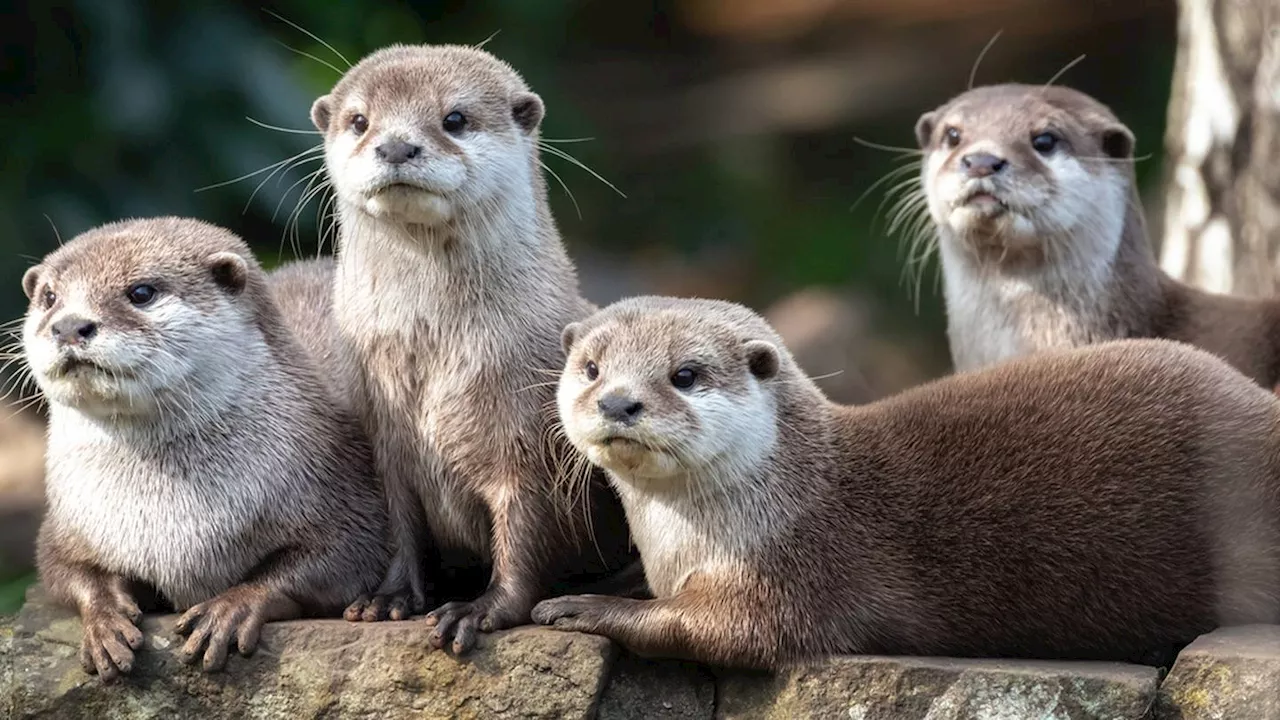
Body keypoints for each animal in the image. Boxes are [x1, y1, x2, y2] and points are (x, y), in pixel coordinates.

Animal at [23, 219, 384, 676]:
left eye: (141, 292)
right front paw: (104, 619)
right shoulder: (70, 521)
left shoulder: (339, 485)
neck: (172, 521)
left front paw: (232, 607)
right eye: (49, 297)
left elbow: (343, 556)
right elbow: (62, 568)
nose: (69, 325)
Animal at [313, 44, 634, 650]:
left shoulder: (530, 445)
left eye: (455, 118)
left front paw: (482, 608)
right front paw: (391, 596)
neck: (435, 356)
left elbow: (526, 534)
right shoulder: (384, 438)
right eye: (360, 121)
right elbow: (401, 526)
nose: (396, 145)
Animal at [529, 295, 1280, 666]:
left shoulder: (795, 569)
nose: (619, 401)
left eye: (684, 374)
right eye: (591, 367)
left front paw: (584, 608)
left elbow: (726, 632)